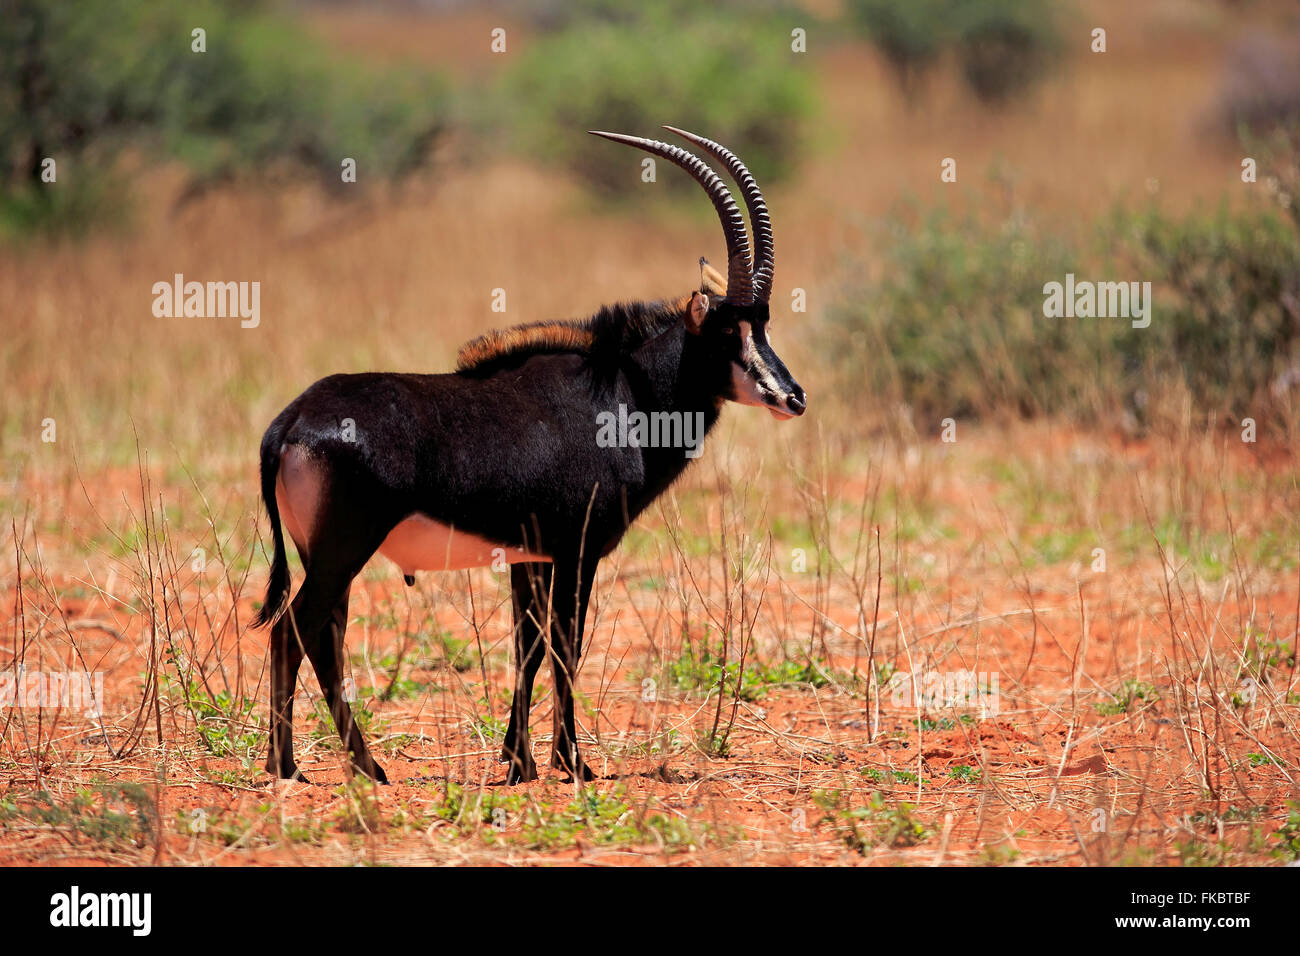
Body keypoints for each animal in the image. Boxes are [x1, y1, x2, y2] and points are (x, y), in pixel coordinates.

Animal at [250, 127, 800, 785]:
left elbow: (528, 646)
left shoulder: (528, 556)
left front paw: (522, 762)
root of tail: (290, 422)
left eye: (763, 323)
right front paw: (572, 763)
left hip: (323, 554)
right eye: (726, 330)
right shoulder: (577, 549)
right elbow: (565, 643)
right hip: (343, 549)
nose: (791, 397)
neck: (624, 393)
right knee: (297, 631)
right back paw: (317, 767)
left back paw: (337, 766)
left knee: (317, 638)